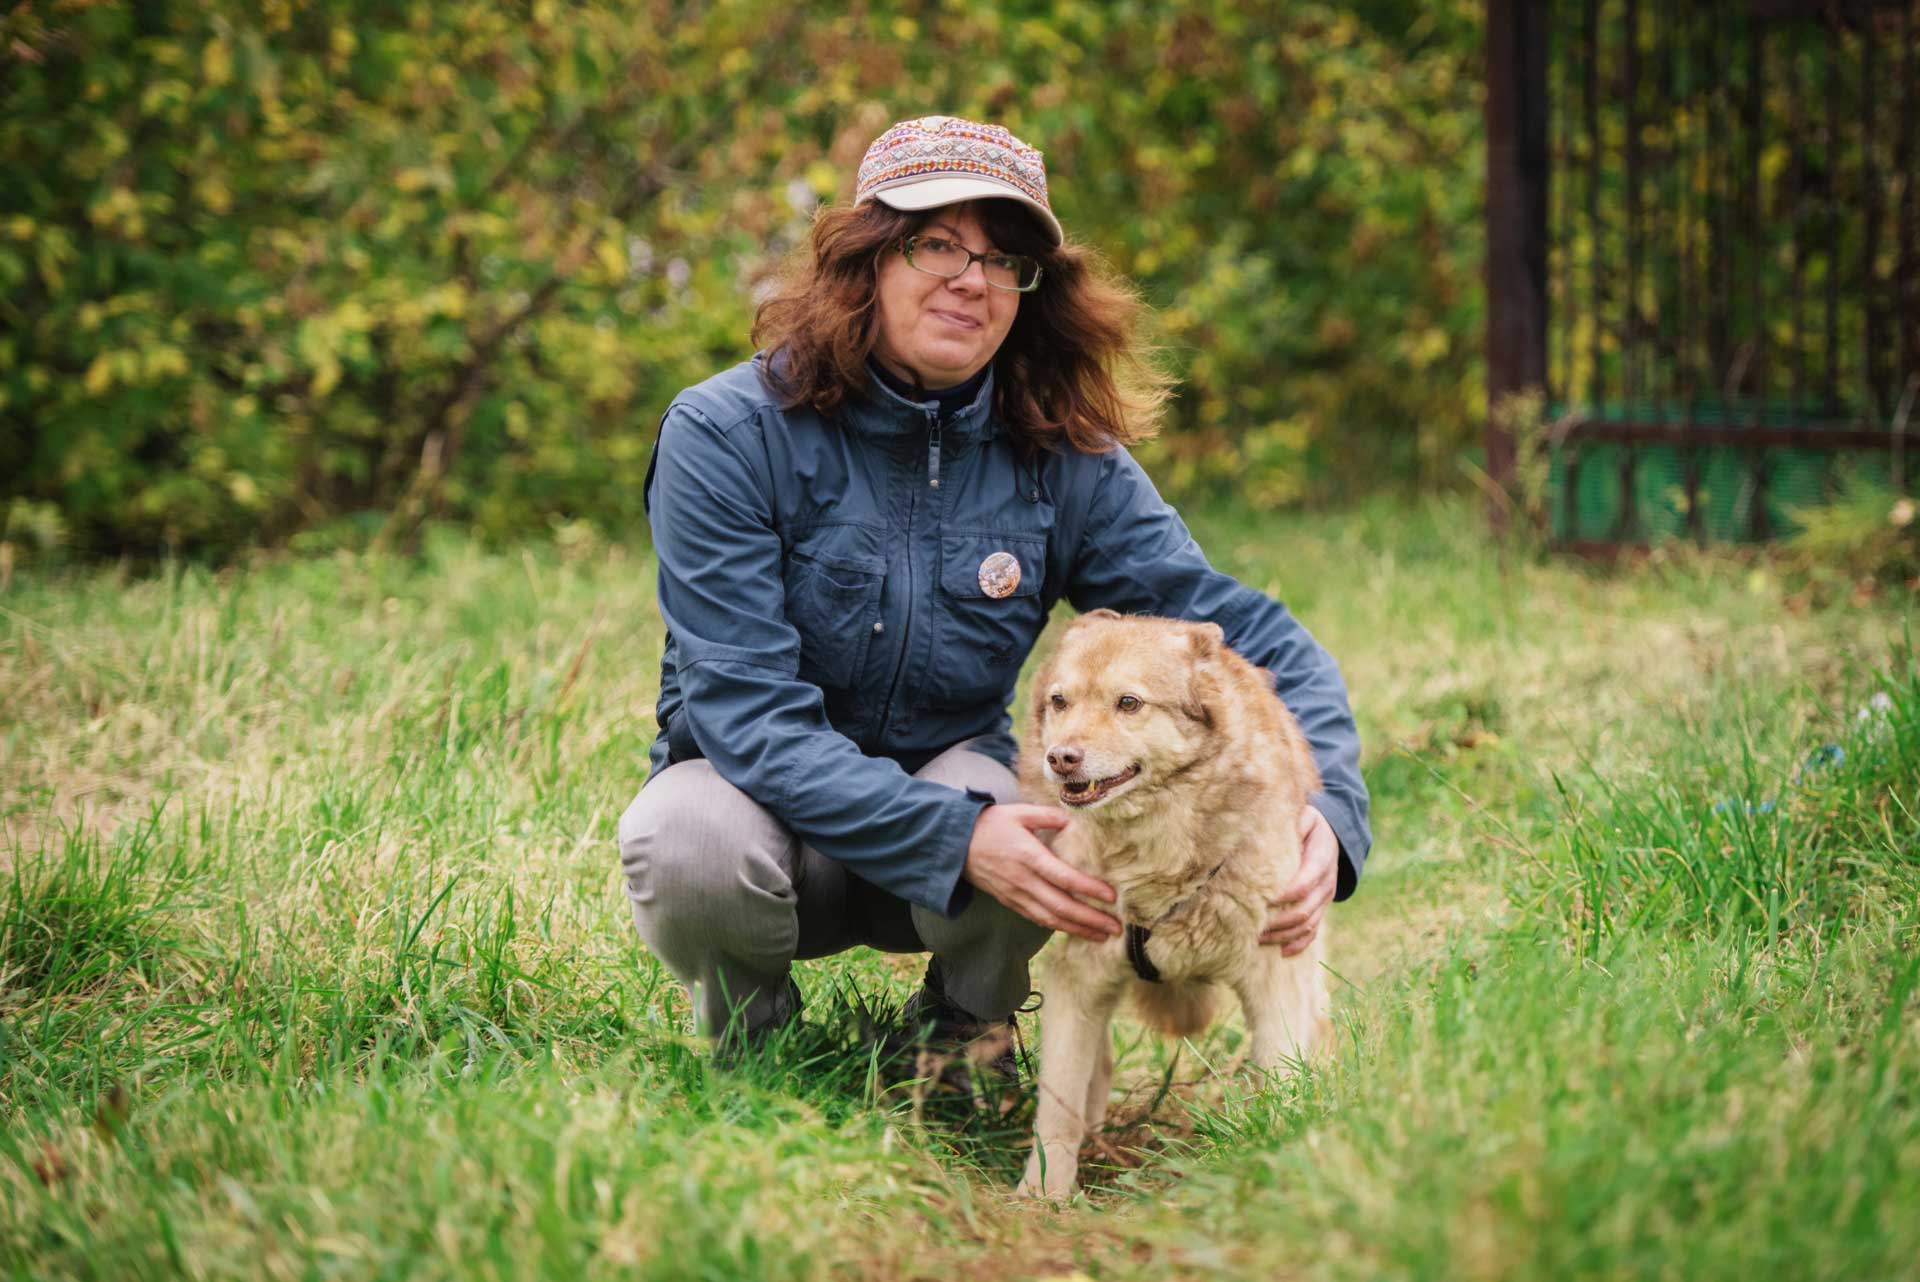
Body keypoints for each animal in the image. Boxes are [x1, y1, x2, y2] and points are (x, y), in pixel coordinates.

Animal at [1013, 610, 1328, 1205]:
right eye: (1061, 701)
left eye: (1128, 703)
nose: (1060, 759)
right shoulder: (1077, 976)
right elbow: (1058, 1098)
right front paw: (1043, 1192)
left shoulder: (1275, 971)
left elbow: (1280, 1075)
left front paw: (1281, 1159)